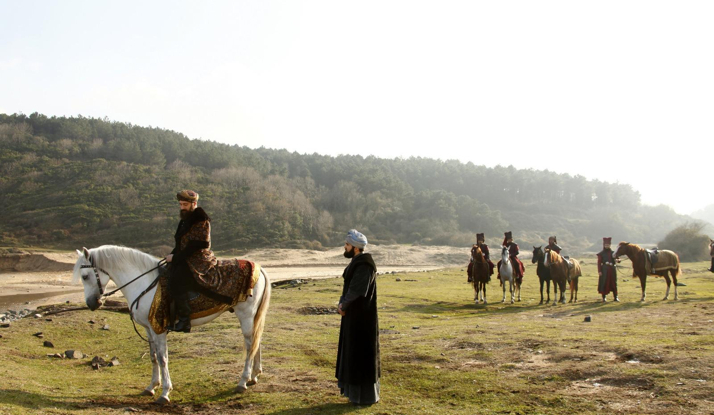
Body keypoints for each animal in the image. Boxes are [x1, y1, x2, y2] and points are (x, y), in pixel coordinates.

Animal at [73, 245, 270, 404]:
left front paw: (165, 393)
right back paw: (254, 376)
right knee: (256, 342)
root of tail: (259, 269)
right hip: (252, 316)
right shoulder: (149, 329)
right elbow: (153, 357)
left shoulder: (158, 329)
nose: (91, 303)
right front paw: (151, 386)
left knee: (249, 345)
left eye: (85, 276)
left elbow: (162, 358)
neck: (144, 284)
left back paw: (243, 381)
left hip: (245, 314)